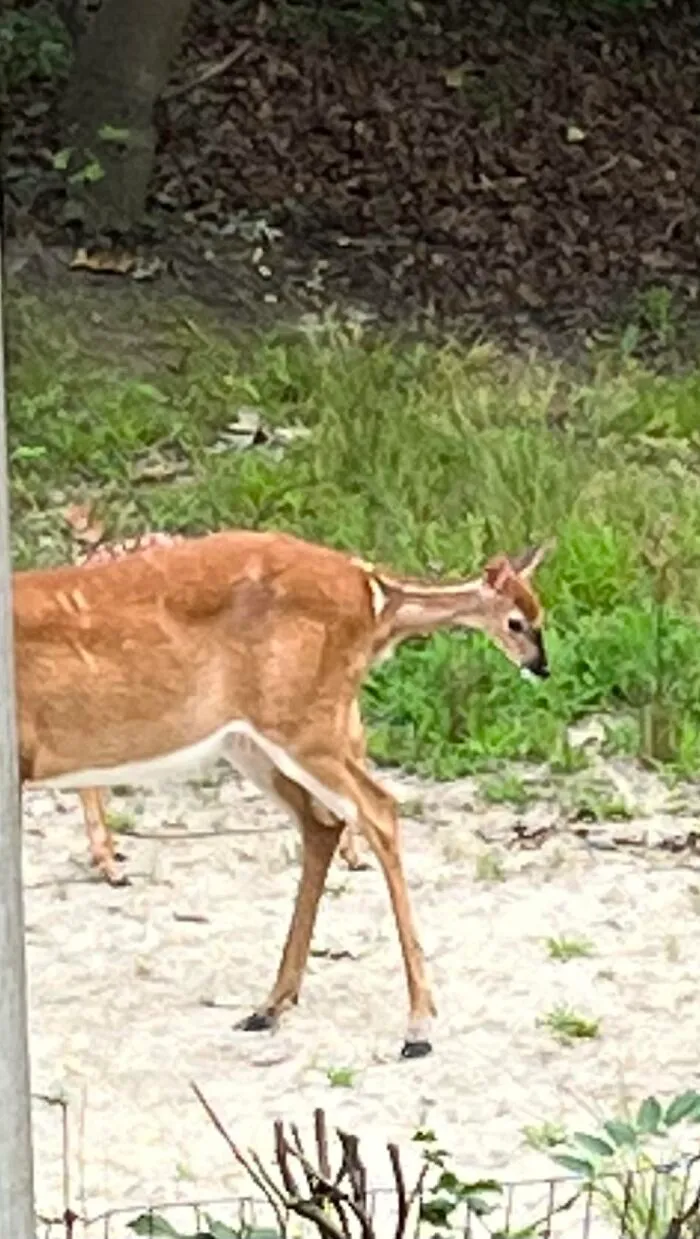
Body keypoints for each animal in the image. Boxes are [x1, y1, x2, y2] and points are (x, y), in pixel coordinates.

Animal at [15, 527, 551, 1058]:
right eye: (518, 621)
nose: (542, 666)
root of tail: (368, 584)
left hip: (302, 723)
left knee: (376, 809)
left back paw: (416, 1026)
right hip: (258, 738)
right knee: (325, 822)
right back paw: (271, 1005)